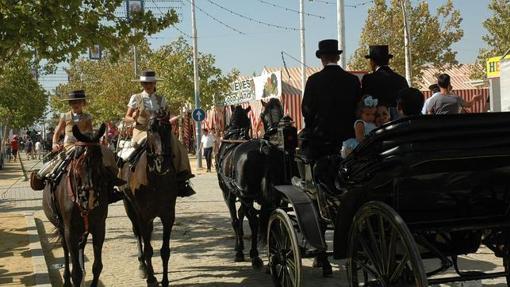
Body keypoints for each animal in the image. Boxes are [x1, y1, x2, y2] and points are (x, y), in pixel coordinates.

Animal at [42, 124, 115, 287]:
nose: (90, 197)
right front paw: (73, 277)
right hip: (62, 228)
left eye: (100, 160)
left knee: (81, 246)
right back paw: (66, 278)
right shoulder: (70, 231)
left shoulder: (99, 228)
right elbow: (75, 272)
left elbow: (97, 266)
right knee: (66, 250)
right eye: (79, 161)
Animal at [120, 111, 180, 286]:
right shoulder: (143, 215)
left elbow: (165, 251)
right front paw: (152, 279)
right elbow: (148, 249)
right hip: (130, 208)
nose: (162, 163)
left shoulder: (168, 215)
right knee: (137, 234)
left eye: (169, 128)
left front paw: (165, 281)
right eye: (151, 129)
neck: (156, 180)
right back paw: (143, 267)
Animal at [215, 99, 294, 270]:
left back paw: (255, 255)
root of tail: (264, 149)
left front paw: (239, 250)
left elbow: (236, 220)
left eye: (261, 115)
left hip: (244, 195)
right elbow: (241, 215)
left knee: (254, 222)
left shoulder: (228, 194)